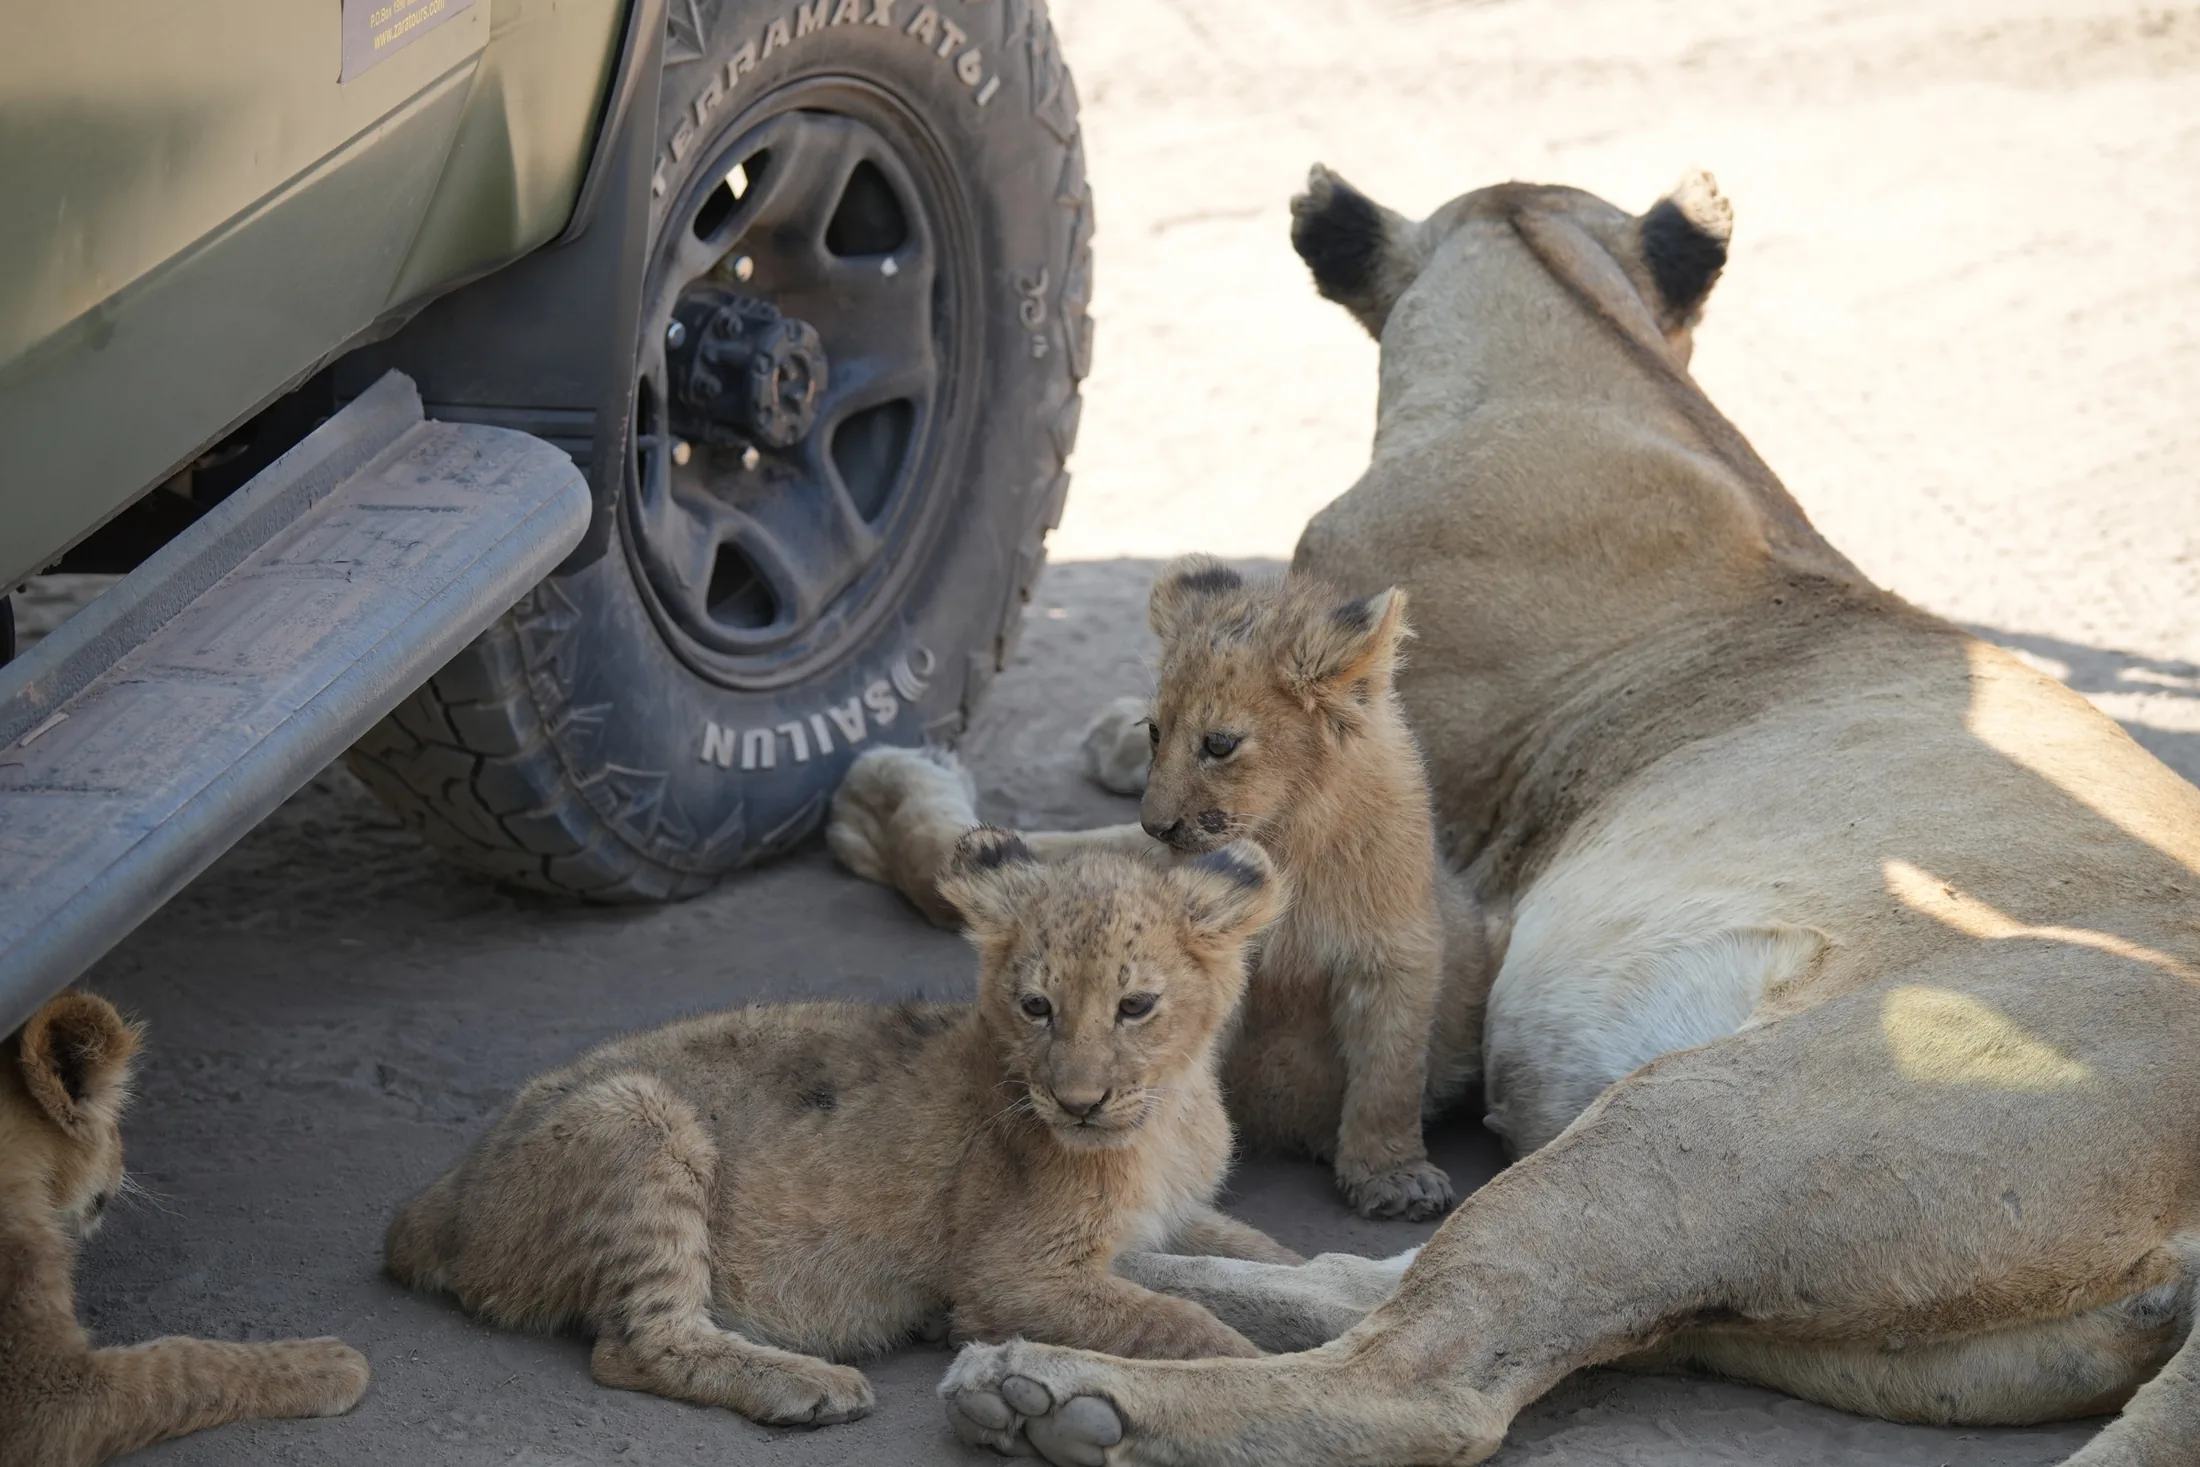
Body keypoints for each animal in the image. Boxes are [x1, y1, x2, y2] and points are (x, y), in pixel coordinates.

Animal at [384, 830, 1302, 1428]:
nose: (1077, 1102)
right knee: (636, 1344)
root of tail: (438, 1199)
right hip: (638, 1111)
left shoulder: (1170, 1214)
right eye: (1036, 1006)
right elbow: (1179, 1321)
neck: (1165, 1111)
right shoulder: (1010, 1274)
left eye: (1135, 1006)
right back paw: (809, 1384)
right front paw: (1263, 1371)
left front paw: (1302, 1277)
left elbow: (1255, 1252)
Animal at [831, 562, 1492, 1221]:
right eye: (1155, 731)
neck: (1287, 837)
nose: (1156, 826)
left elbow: (1391, 1067)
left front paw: (1394, 1177)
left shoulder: (1395, 950)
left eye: (1219, 744)